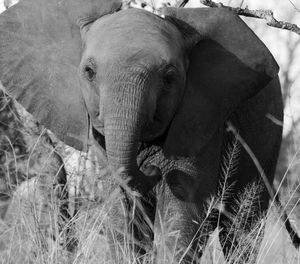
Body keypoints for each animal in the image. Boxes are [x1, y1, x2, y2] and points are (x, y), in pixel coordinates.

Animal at [0, 0, 296, 262]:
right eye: (89, 72)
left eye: (169, 77)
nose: (152, 170)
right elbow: (120, 214)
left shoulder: (200, 117)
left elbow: (182, 210)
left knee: (241, 228)